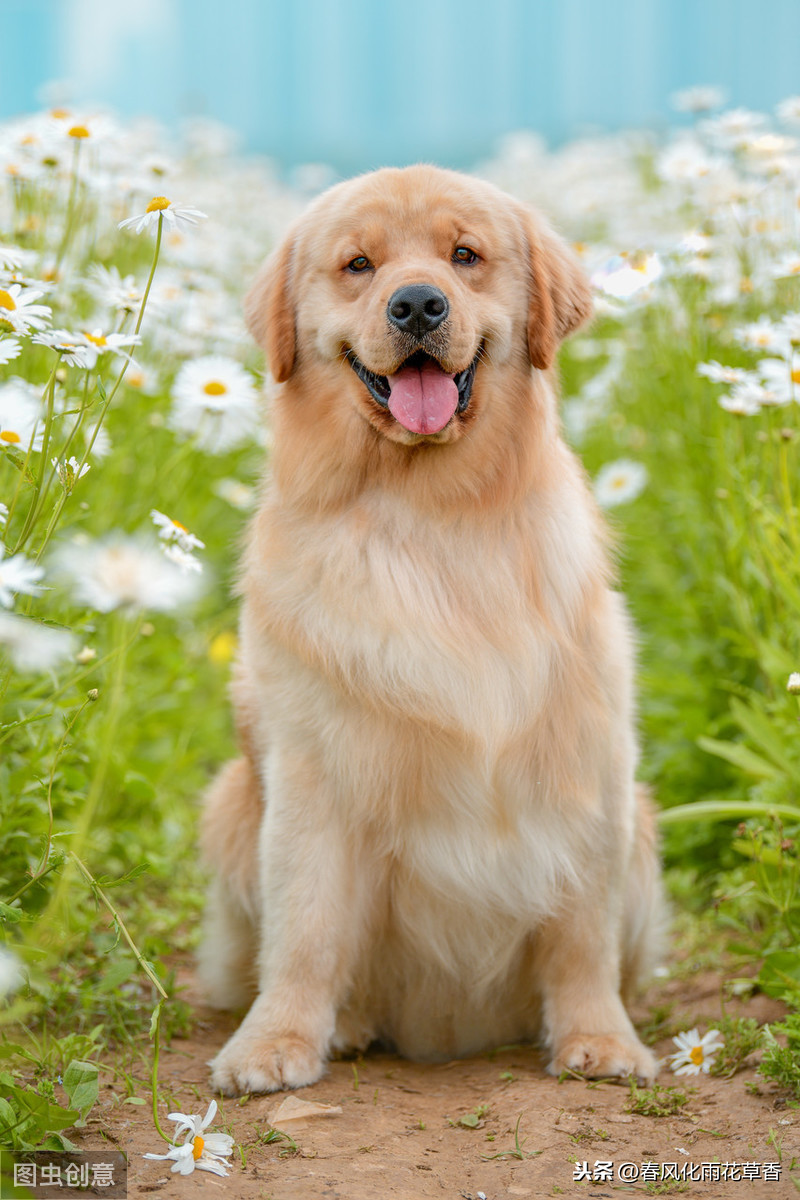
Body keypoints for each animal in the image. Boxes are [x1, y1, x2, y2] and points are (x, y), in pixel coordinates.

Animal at [200, 164, 662, 1094]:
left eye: (465, 256)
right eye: (358, 265)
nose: (417, 304)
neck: (432, 518)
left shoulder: (591, 763)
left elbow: (582, 933)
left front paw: (602, 1039)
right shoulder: (313, 773)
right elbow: (305, 931)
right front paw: (274, 1044)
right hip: (230, 801)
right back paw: (347, 1026)